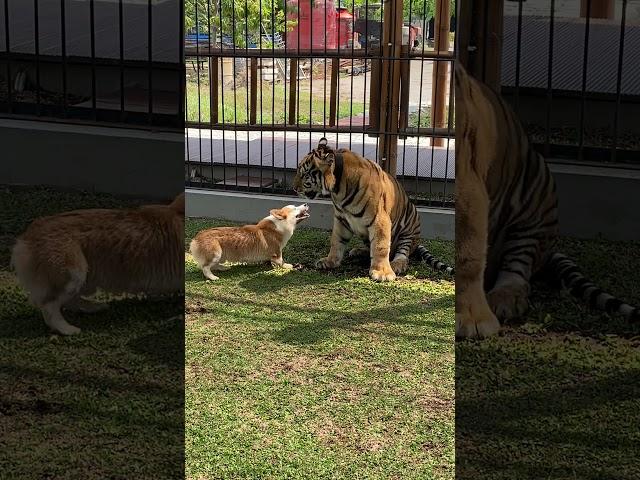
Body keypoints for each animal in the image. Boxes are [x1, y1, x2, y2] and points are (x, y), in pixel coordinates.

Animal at [10, 193, 185, 336]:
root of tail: (25, 239)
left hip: (83, 277)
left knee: (69, 300)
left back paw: (93, 306)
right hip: (74, 272)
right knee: (49, 306)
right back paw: (68, 329)